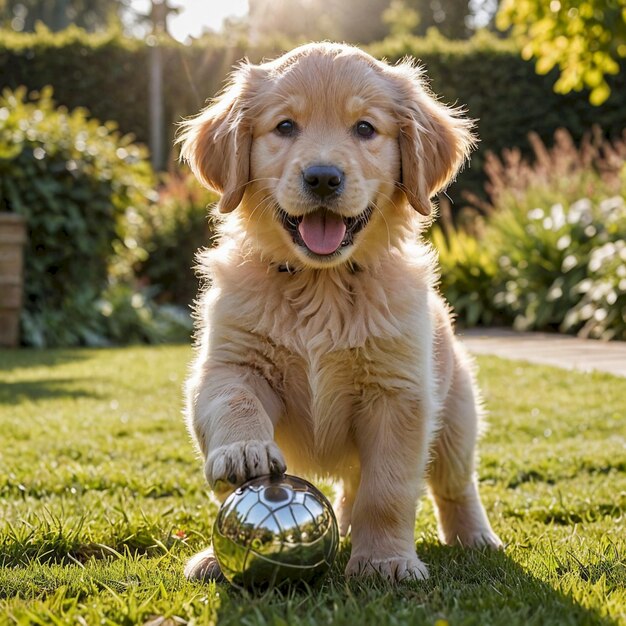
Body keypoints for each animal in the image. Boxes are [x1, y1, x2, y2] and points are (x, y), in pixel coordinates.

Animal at [178, 42, 500, 580]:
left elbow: (387, 490)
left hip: (456, 417)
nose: (324, 178)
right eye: (285, 126)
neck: (321, 283)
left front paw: (385, 560)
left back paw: (475, 538)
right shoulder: (230, 362)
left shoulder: (398, 394)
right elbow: (233, 402)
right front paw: (243, 452)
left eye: (365, 128)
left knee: (454, 486)